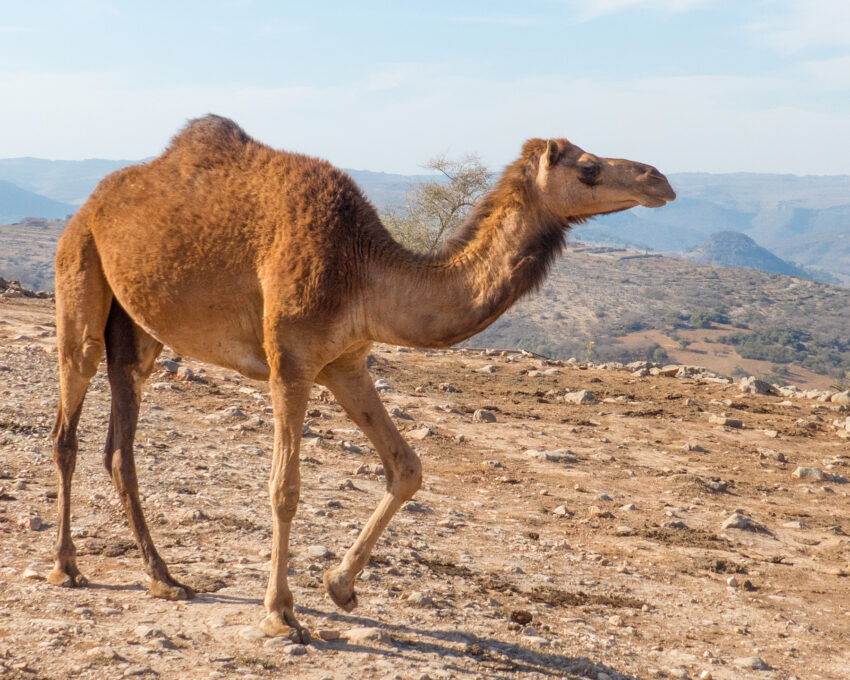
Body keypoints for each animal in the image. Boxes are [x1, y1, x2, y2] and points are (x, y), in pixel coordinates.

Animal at [50, 115, 675, 643]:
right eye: (588, 167)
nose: (660, 178)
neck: (364, 271)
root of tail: (94, 202)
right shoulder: (290, 362)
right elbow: (284, 489)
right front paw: (281, 614)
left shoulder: (346, 364)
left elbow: (408, 467)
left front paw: (340, 587)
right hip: (79, 273)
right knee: (68, 424)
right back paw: (67, 566)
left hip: (139, 329)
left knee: (119, 446)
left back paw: (163, 576)